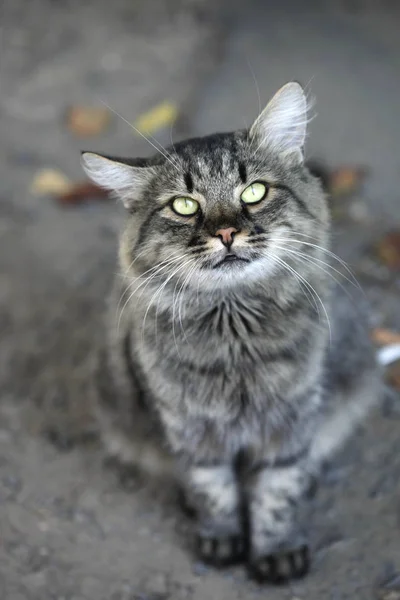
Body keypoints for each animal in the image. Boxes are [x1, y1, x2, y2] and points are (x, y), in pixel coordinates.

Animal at [80, 82, 382, 584]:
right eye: (184, 206)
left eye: (254, 191)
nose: (226, 233)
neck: (234, 330)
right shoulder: (189, 427)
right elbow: (213, 488)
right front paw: (222, 539)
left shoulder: (290, 419)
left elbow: (277, 491)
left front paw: (276, 551)